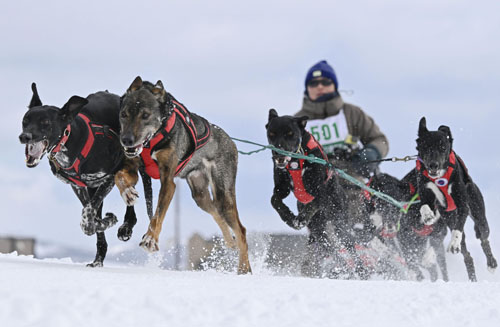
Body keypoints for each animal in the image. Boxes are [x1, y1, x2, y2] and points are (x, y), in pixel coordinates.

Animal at [19, 83, 151, 268]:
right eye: (25, 121)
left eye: (45, 122)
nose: (25, 136)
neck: (69, 140)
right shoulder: (79, 186)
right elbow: (91, 216)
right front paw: (104, 222)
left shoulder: (109, 178)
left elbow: (88, 215)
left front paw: (107, 221)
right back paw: (99, 258)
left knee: (131, 196)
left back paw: (127, 226)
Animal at [116, 77, 250, 274]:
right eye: (124, 114)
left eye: (145, 115)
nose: (126, 140)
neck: (153, 139)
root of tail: (231, 141)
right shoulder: (135, 167)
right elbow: (119, 175)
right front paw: (128, 193)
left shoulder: (168, 182)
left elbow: (157, 214)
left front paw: (150, 239)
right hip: (200, 195)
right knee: (217, 214)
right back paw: (229, 241)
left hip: (223, 195)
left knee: (241, 230)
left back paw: (244, 269)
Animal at [266, 109, 364, 278]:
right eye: (272, 133)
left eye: (290, 133)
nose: (279, 154)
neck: (297, 161)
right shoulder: (282, 188)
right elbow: (275, 200)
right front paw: (289, 217)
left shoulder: (319, 190)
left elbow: (312, 203)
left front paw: (300, 219)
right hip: (318, 230)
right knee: (329, 248)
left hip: (339, 225)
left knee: (350, 247)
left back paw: (361, 271)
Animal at [414, 118, 496, 282]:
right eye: (426, 146)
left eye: (443, 148)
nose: (433, 164)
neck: (440, 178)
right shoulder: (426, 195)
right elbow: (424, 206)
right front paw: (428, 216)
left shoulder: (462, 205)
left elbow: (458, 230)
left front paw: (453, 243)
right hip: (450, 218)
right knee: (468, 256)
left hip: (479, 216)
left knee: (484, 239)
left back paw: (491, 264)